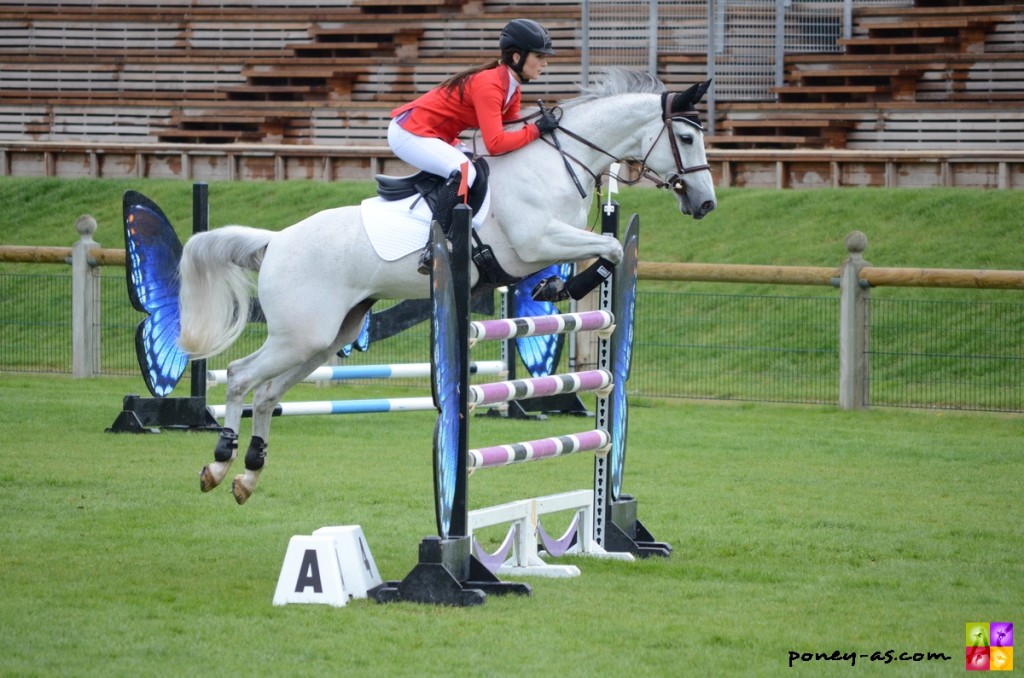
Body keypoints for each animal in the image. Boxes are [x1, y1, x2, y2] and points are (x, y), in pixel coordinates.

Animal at [176, 70, 716, 503]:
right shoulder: (536, 242)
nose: (706, 204)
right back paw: (219, 464)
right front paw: (561, 288)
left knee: (268, 394)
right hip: (300, 334)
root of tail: (277, 241)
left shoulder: (546, 245)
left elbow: (606, 246)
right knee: (241, 377)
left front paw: (553, 289)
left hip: (327, 337)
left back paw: (248, 476)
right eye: (686, 137)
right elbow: (611, 248)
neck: (560, 163)